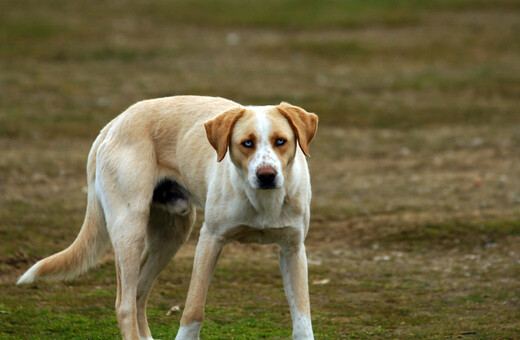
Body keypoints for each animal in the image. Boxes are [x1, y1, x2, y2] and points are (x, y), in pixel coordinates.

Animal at [17, 95, 316, 340]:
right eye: (247, 143)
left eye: (281, 141)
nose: (267, 175)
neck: (263, 201)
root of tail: (114, 123)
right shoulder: (210, 241)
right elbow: (193, 311)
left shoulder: (293, 249)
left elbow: (302, 318)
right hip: (130, 229)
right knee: (124, 304)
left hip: (172, 235)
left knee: (138, 292)